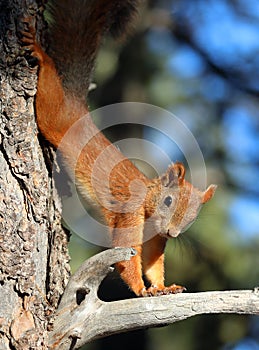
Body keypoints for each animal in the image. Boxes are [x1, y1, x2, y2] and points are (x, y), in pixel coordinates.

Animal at [21, 0, 217, 296]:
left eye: (194, 216)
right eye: (168, 201)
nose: (172, 233)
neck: (148, 203)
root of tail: (78, 106)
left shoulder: (155, 237)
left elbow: (152, 262)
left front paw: (163, 287)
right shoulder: (130, 214)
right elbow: (127, 256)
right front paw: (142, 290)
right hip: (53, 115)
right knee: (48, 94)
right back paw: (40, 52)